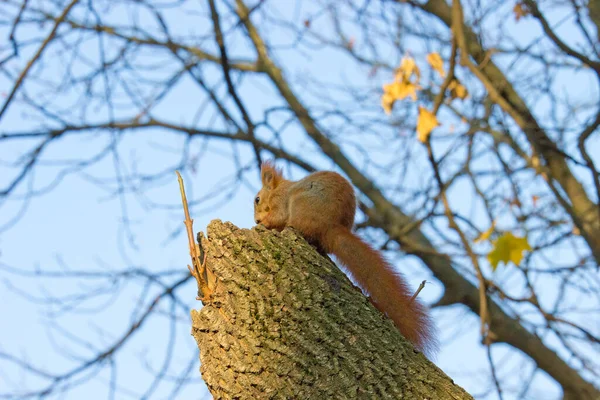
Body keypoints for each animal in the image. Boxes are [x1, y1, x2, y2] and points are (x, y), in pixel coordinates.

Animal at [253, 162, 436, 356]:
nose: (256, 220)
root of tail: (329, 227)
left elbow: (278, 215)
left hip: (300, 204)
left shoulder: (280, 200)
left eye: (257, 199)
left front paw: (265, 223)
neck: (279, 188)